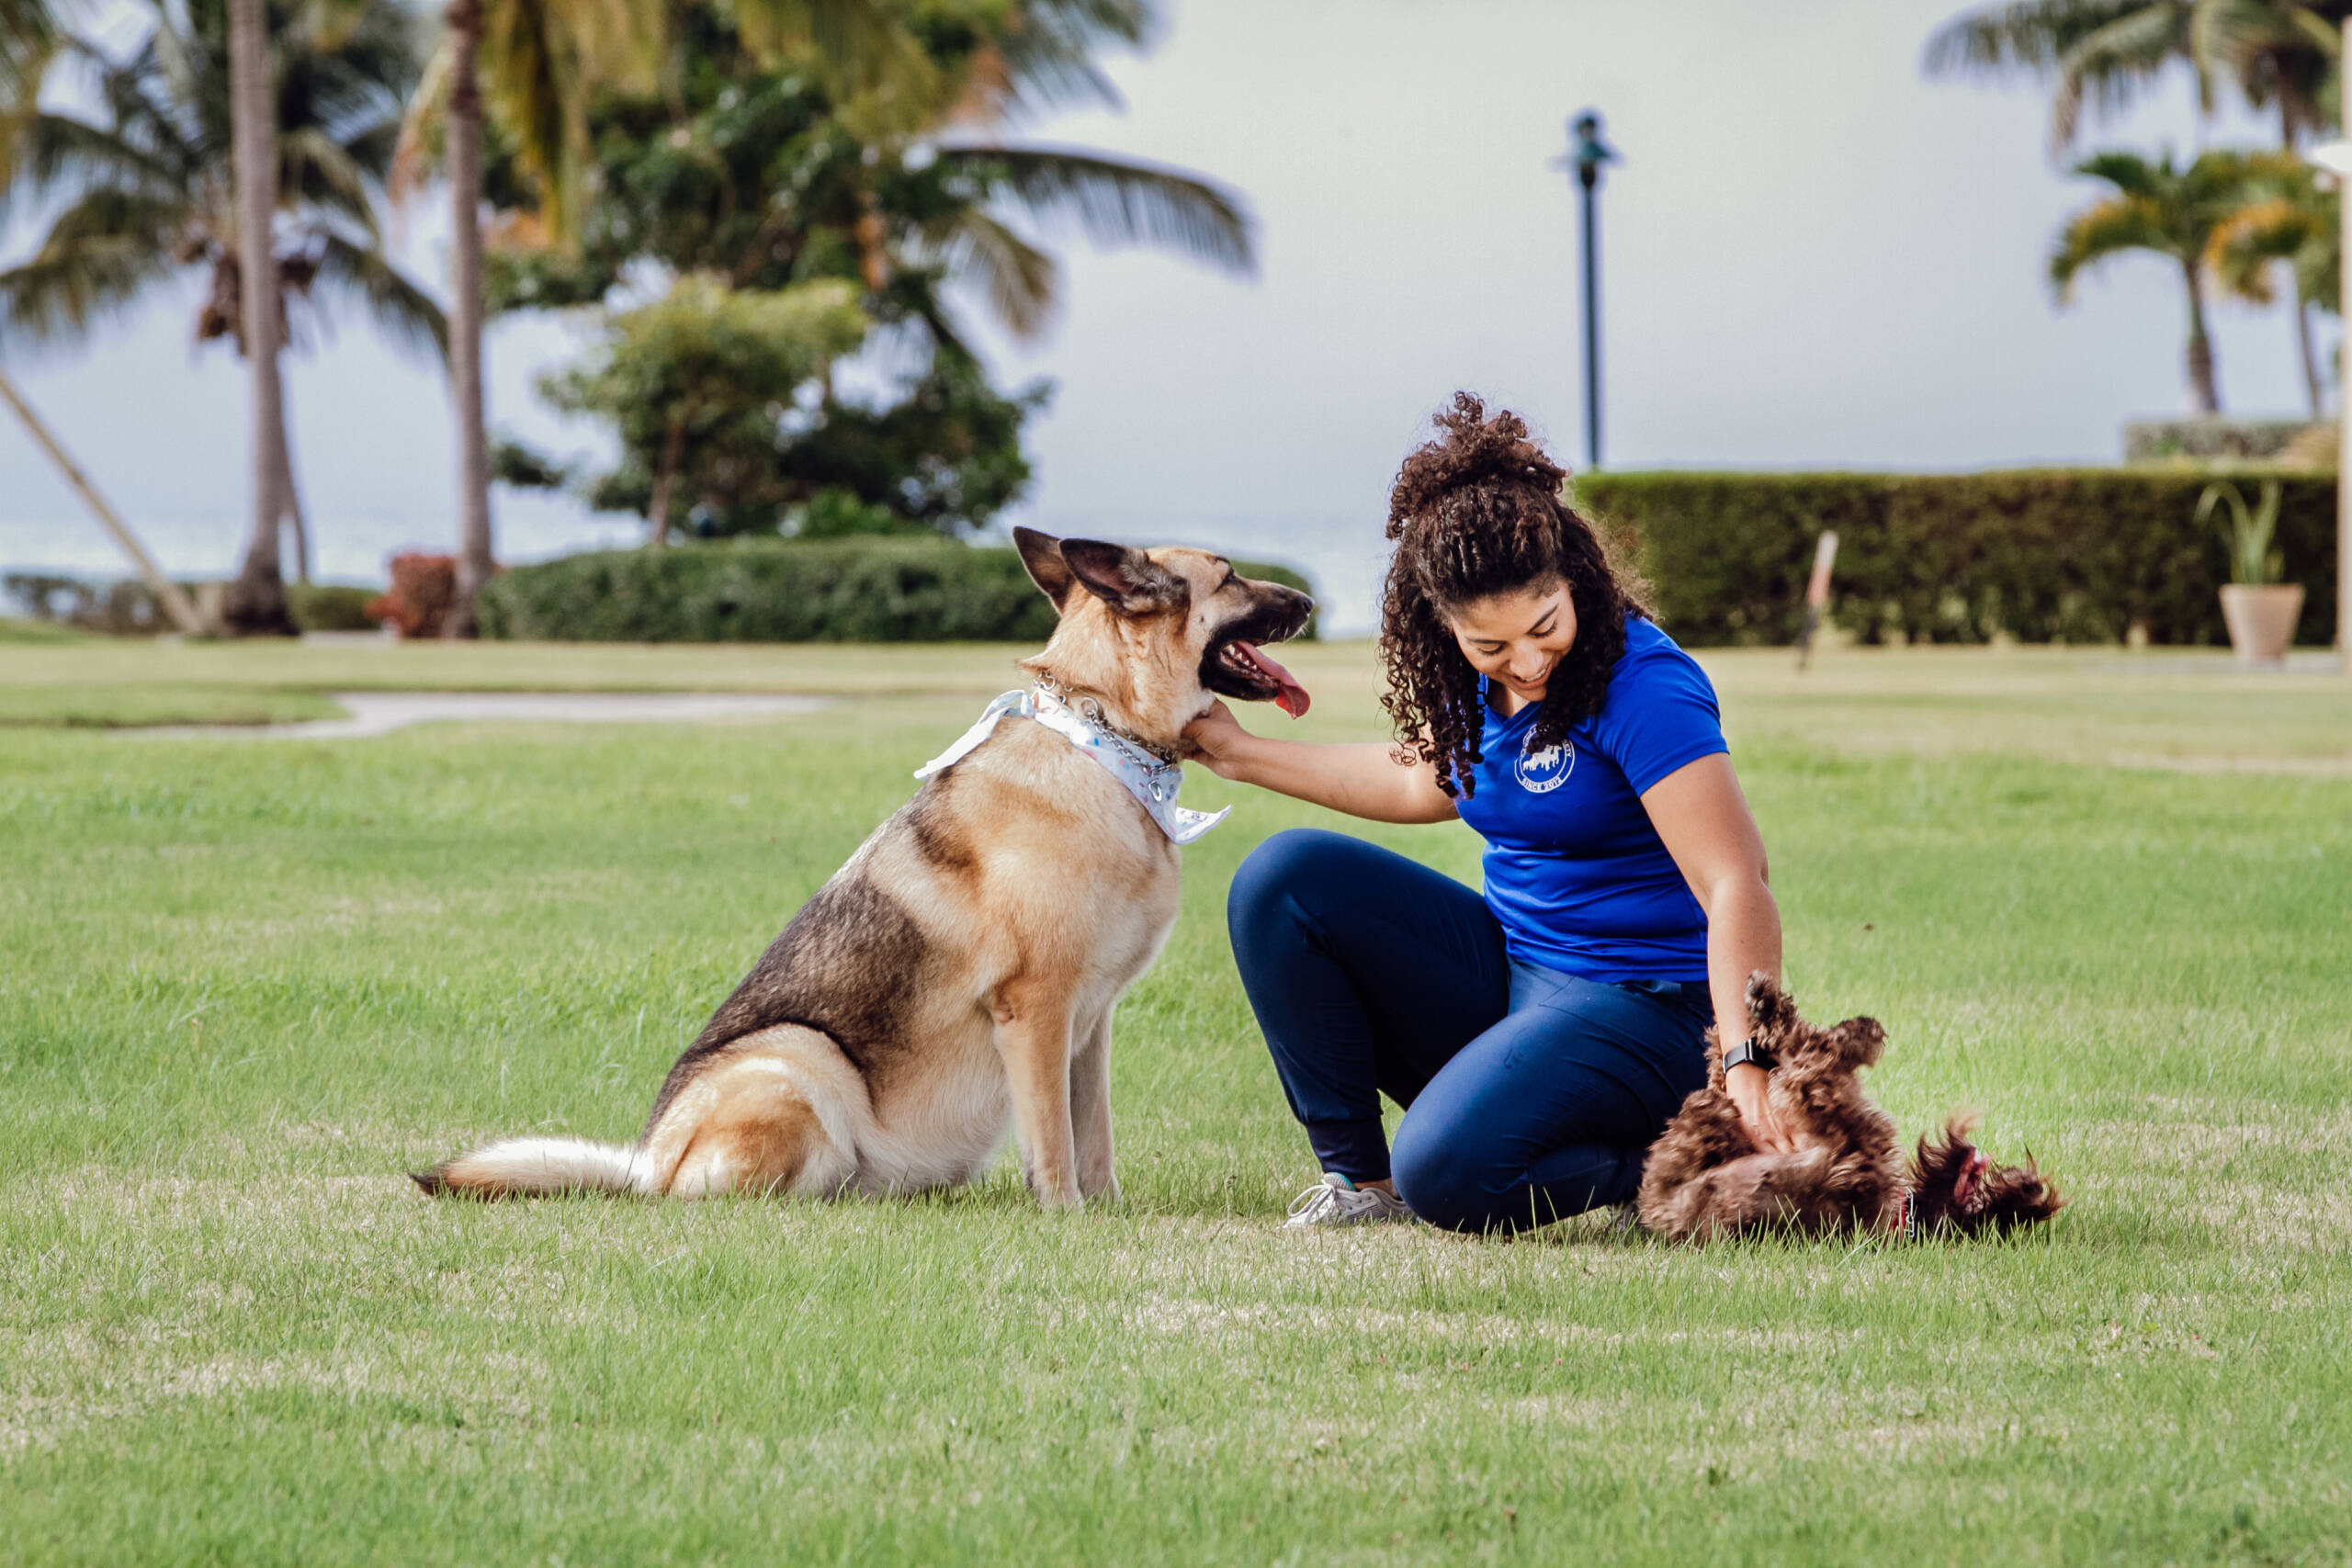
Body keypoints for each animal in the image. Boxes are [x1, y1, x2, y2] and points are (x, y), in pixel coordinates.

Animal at [412, 533, 1317, 1213]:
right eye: (1230, 577)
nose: (1311, 602)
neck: (1104, 738)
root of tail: (645, 1163)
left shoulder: (1088, 1026)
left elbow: (1093, 1137)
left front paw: (1108, 1214)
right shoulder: (1037, 1010)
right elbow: (1055, 1141)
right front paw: (1063, 1215)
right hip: (803, 1058)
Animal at [1636, 973, 2060, 1241]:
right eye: (1983, 1183)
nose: (2033, 1183)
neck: (1906, 1216)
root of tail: (1661, 1216)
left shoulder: (1820, 1099)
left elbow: (1812, 1047)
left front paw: (1852, 1029)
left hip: (1687, 1151)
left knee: (1701, 1120)